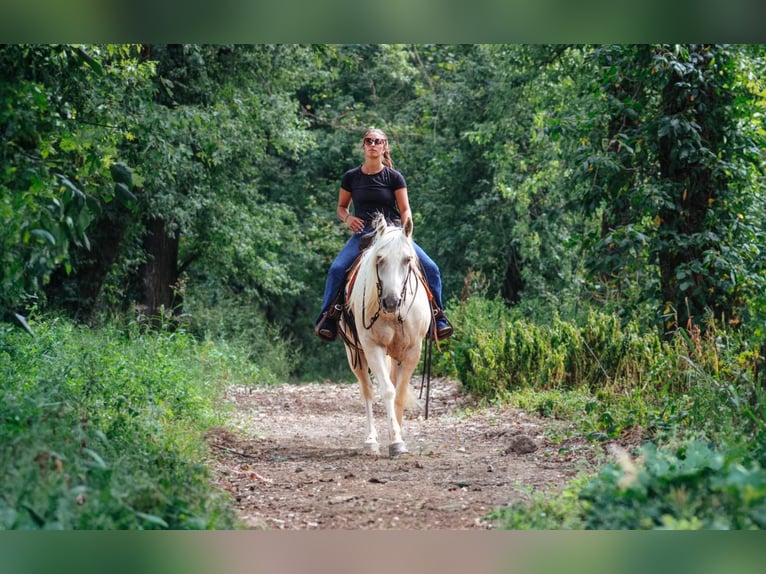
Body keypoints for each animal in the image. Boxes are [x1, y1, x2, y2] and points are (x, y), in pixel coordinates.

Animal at [340, 216, 436, 460]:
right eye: (380, 259)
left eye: (407, 259)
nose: (391, 302)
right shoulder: (373, 347)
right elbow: (387, 391)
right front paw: (394, 440)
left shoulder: (413, 351)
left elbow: (399, 394)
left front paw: (398, 437)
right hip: (354, 353)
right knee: (367, 391)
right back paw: (371, 440)